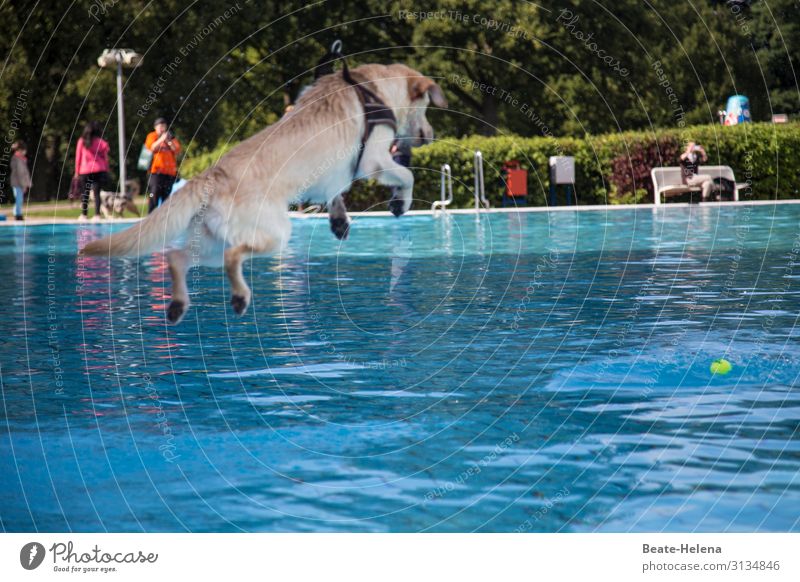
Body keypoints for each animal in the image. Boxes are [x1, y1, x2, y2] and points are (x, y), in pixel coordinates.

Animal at [83, 67, 446, 328]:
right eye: (428, 107)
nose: (431, 136)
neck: (373, 87)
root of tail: (209, 177)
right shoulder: (373, 159)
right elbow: (407, 176)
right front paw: (400, 202)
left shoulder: (336, 174)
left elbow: (334, 192)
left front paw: (340, 220)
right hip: (273, 233)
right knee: (233, 258)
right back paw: (239, 297)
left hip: (211, 240)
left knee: (177, 257)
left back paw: (177, 305)